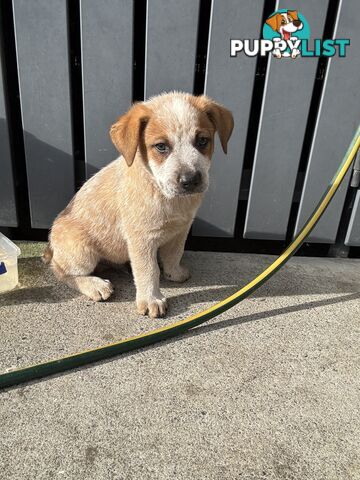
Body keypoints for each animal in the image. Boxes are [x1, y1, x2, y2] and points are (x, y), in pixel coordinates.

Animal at [44, 93, 233, 318]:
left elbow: (174, 253)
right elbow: (149, 271)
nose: (190, 180)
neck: (168, 198)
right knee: (60, 270)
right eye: (161, 146)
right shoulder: (142, 238)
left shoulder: (181, 229)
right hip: (81, 253)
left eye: (203, 141)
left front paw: (174, 272)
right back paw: (95, 285)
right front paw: (152, 299)